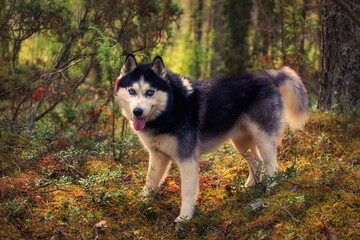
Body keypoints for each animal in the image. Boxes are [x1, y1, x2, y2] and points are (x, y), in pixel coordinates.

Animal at [113, 54, 310, 221]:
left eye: (150, 92)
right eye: (132, 91)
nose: (137, 111)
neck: (170, 109)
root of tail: (268, 75)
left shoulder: (187, 160)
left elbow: (187, 192)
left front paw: (184, 219)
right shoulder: (158, 156)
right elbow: (150, 183)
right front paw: (141, 203)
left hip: (264, 138)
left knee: (272, 165)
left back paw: (271, 188)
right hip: (240, 142)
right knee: (257, 161)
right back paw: (248, 186)